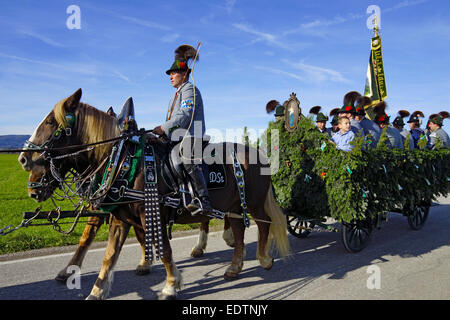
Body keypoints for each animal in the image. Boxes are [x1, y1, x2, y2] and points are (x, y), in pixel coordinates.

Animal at [17, 89, 290, 298]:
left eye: (51, 122)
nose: (24, 159)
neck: (124, 160)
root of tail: (259, 153)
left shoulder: (152, 214)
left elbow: (164, 250)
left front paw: (170, 285)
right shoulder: (119, 218)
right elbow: (108, 255)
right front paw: (96, 291)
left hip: (253, 202)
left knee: (263, 224)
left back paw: (264, 259)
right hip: (233, 206)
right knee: (238, 230)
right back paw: (234, 266)